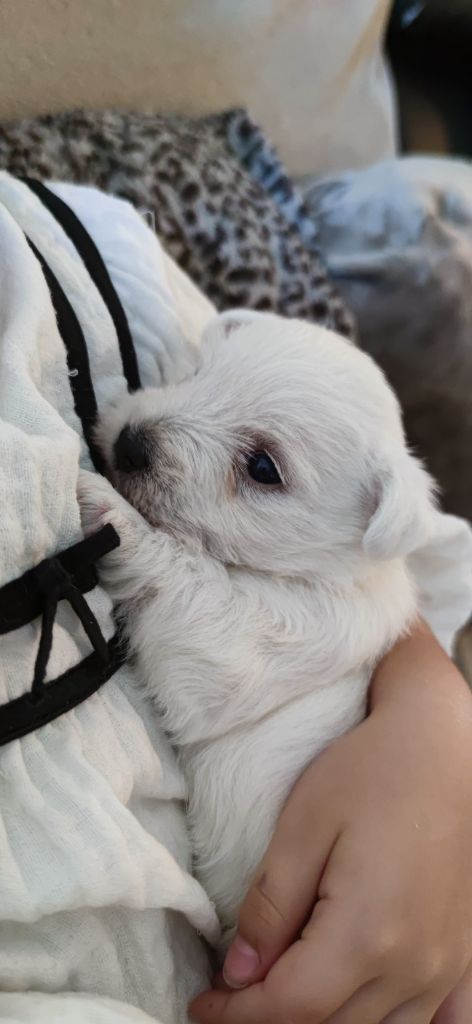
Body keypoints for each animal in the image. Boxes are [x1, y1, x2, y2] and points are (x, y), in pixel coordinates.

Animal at [77, 311, 434, 942]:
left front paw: (114, 517)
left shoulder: (245, 645)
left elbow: (186, 580)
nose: (129, 441)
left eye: (263, 467)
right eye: (196, 373)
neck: (313, 572)